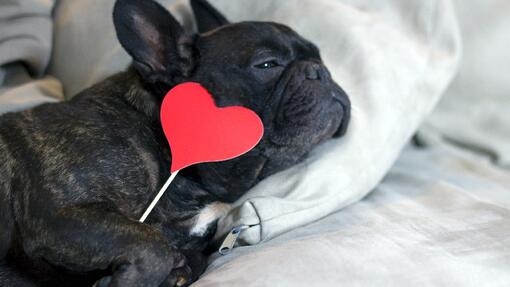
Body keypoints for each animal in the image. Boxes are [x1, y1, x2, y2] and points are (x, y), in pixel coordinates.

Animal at [0, 0, 350, 286]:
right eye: (267, 64)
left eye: (319, 56)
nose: (320, 70)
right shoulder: (58, 214)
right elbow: (152, 245)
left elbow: (186, 258)